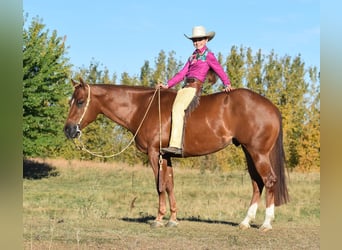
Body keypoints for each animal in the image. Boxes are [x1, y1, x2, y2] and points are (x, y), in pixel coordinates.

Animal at [64, 78, 288, 232]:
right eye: (70, 101)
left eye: (81, 101)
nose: (68, 130)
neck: (142, 107)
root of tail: (271, 107)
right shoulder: (167, 156)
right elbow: (170, 184)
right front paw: (172, 219)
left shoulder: (154, 153)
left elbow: (159, 185)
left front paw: (158, 219)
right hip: (248, 152)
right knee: (256, 183)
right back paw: (245, 222)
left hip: (258, 153)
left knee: (269, 180)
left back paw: (266, 223)